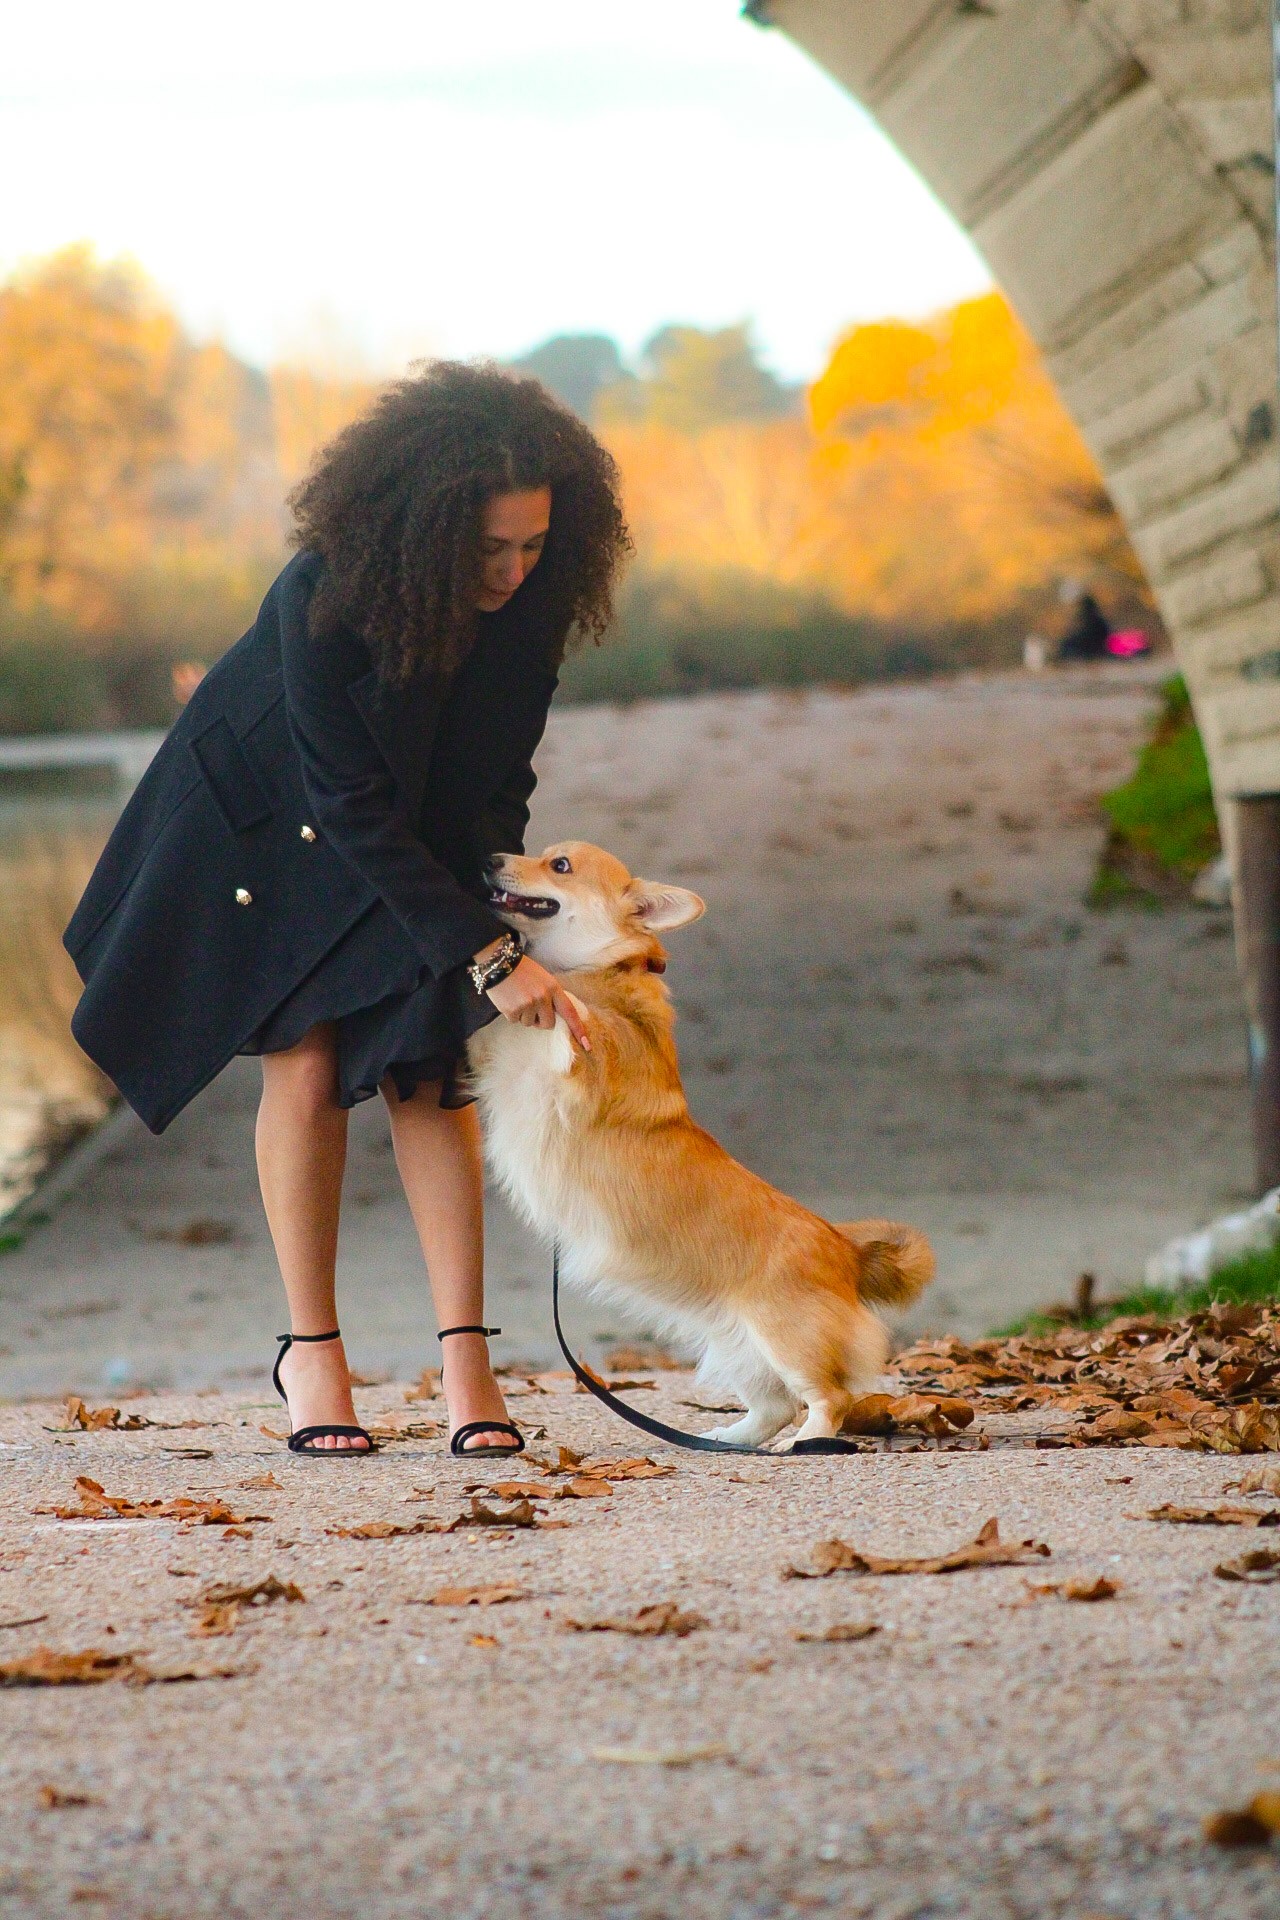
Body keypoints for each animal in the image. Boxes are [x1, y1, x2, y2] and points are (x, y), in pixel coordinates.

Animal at [466, 840, 936, 1443]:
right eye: (541, 853)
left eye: (560, 866)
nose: (490, 858)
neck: (596, 968)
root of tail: (845, 1248)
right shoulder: (490, 1056)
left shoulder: (584, 1069)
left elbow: (576, 1026)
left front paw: (564, 1003)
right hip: (733, 1342)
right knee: (774, 1407)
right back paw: (729, 1442)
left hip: (783, 1333)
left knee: (828, 1399)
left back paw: (805, 1444)